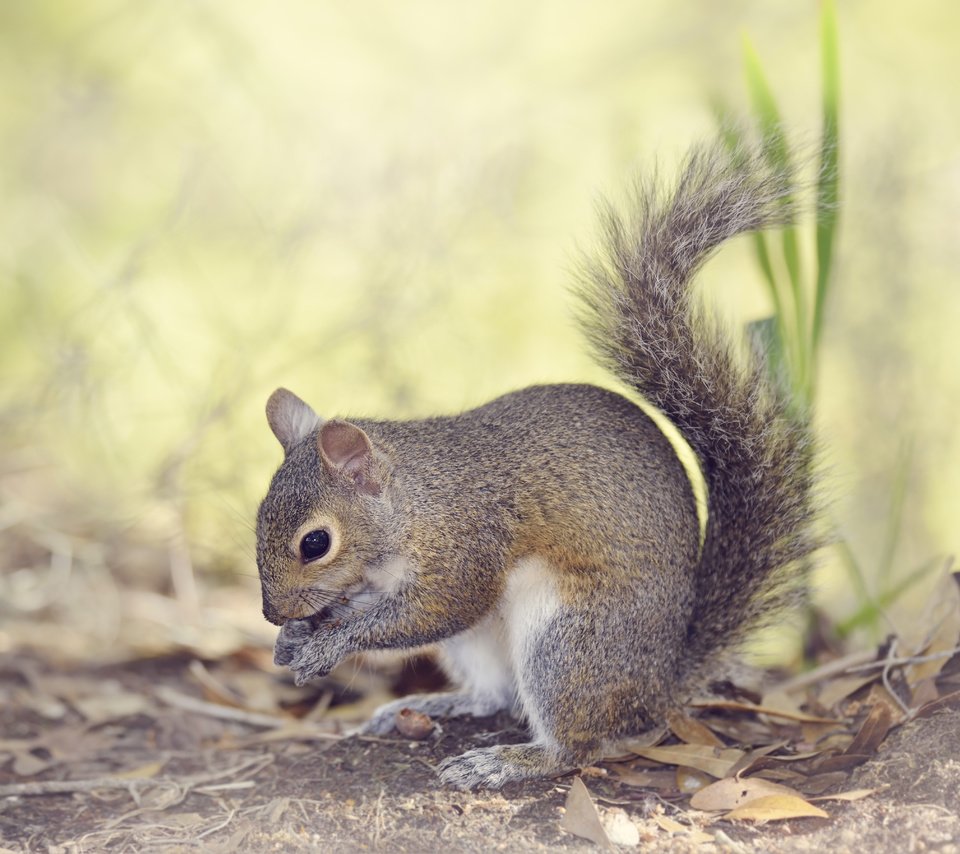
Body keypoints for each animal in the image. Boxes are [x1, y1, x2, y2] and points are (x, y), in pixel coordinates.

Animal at [253, 139, 816, 788]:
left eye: (315, 543)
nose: (270, 612)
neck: (412, 506)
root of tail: (658, 687)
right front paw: (296, 636)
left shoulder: (465, 548)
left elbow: (431, 611)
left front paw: (327, 644)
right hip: (485, 645)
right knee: (494, 695)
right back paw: (428, 704)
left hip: (567, 642)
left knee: (575, 746)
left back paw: (505, 761)